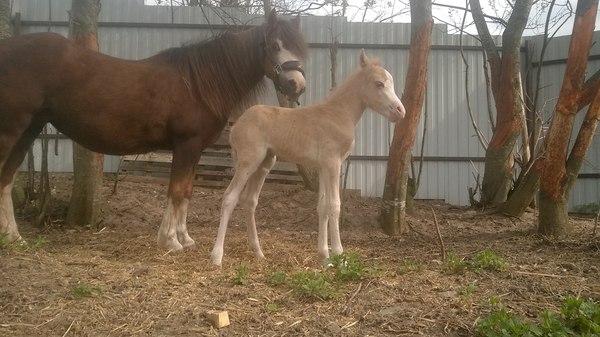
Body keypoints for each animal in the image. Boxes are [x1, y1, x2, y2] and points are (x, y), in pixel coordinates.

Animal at [0, 10, 308, 249]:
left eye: (299, 47)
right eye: (275, 45)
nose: (298, 85)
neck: (196, 84)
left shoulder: (195, 149)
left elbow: (187, 191)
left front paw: (185, 238)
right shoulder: (185, 145)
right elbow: (176, 190)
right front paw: (170, 240)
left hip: (29, 129)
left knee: (7, 178)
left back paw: (14, 236)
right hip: (12, 130)